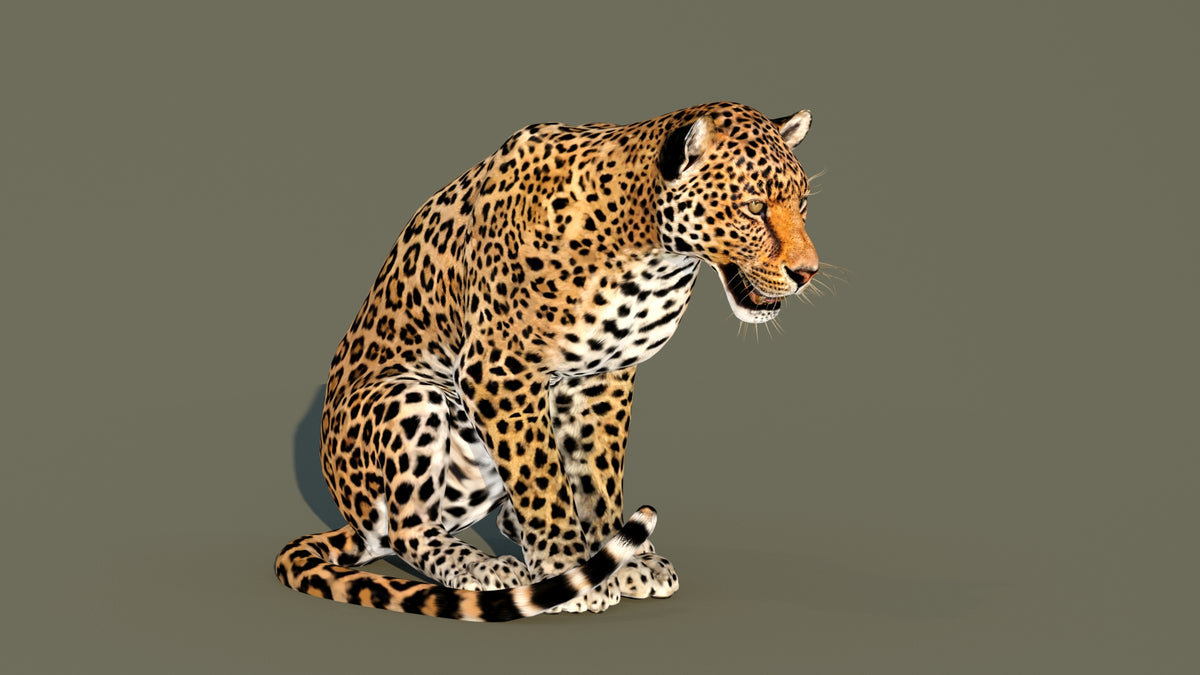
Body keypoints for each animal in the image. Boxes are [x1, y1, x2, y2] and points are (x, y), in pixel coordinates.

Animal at [275, 101, 820, 621]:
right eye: (753, 207)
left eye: (803, 206)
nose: (808, 273)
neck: (651, 253)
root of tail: (350, 516)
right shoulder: (499, 373)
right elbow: (542, 481)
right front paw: (567, 569)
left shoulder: (601, 378)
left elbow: (596, 476)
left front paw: (619, 561)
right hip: (408, 395)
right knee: (407, 529)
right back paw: (481, 566)